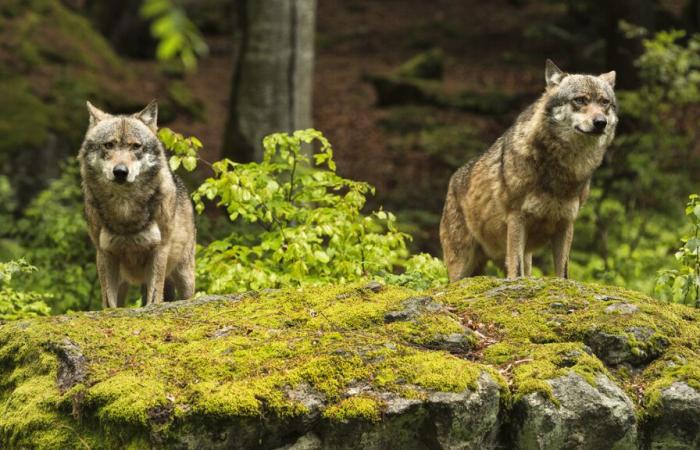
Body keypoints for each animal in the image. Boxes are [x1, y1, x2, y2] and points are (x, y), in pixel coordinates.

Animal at [78, 101, 196, 306]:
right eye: (109, 145)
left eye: (135, 146)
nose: (120, 171)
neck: (124, 209)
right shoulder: (104, 253)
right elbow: (109, 304)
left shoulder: (159, 250)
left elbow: (154, 298)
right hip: (124, 283)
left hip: (184, 276)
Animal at [440, 58, 616, 280]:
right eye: (580, 100)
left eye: (604, 102)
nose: (600, 122)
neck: (561, 169)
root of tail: (452, 180)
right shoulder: (517, 219)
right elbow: (516, 272)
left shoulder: (566, 223)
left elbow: (562, 273)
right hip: (461, 268)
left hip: (523, 257)